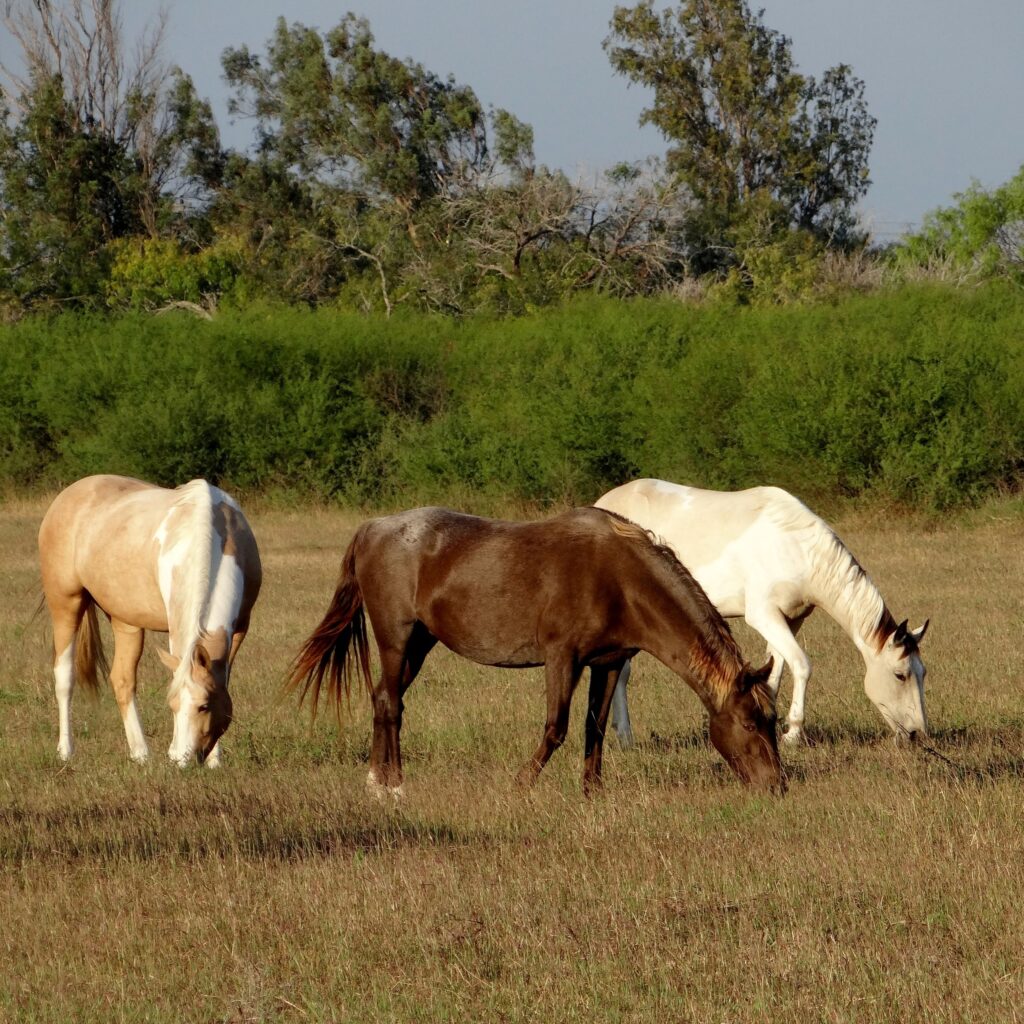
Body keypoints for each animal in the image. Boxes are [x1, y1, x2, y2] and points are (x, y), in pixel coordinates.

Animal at [38, 475, 262, 766]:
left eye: (204, 705)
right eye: (172, 704)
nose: (181, 759)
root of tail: (69, 494)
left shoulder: (240, 628)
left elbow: (222, 680)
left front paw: (215, 761)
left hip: (125, 621)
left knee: (122, 680)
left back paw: (141, 754)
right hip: (65, 604)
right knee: (64, 677)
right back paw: (65, 751)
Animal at [286, 506, 783, 796]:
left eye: (772, 721)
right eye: (747, 722)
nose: (776, 785)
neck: (620, 579)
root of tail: (372, 528)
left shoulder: (607, 663)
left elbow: (593, 728)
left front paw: (592, 792)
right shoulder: (562, 658)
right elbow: (556, 728)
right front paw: (521, 784)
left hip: (420, 643)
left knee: (384, 700)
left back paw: (375, 780)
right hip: (396, 637)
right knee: (390, 703)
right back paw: (392, 786)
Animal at [594, 480, 929, 747]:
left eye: (922, 672)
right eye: (900, 675)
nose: (917, 733)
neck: (797, 547)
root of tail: (602, 505)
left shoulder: (790, 620)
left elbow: (776, 671)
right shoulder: (763, 615)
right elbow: (802, 665)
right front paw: (793, 734)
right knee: (621, 674)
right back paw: (625, 738)